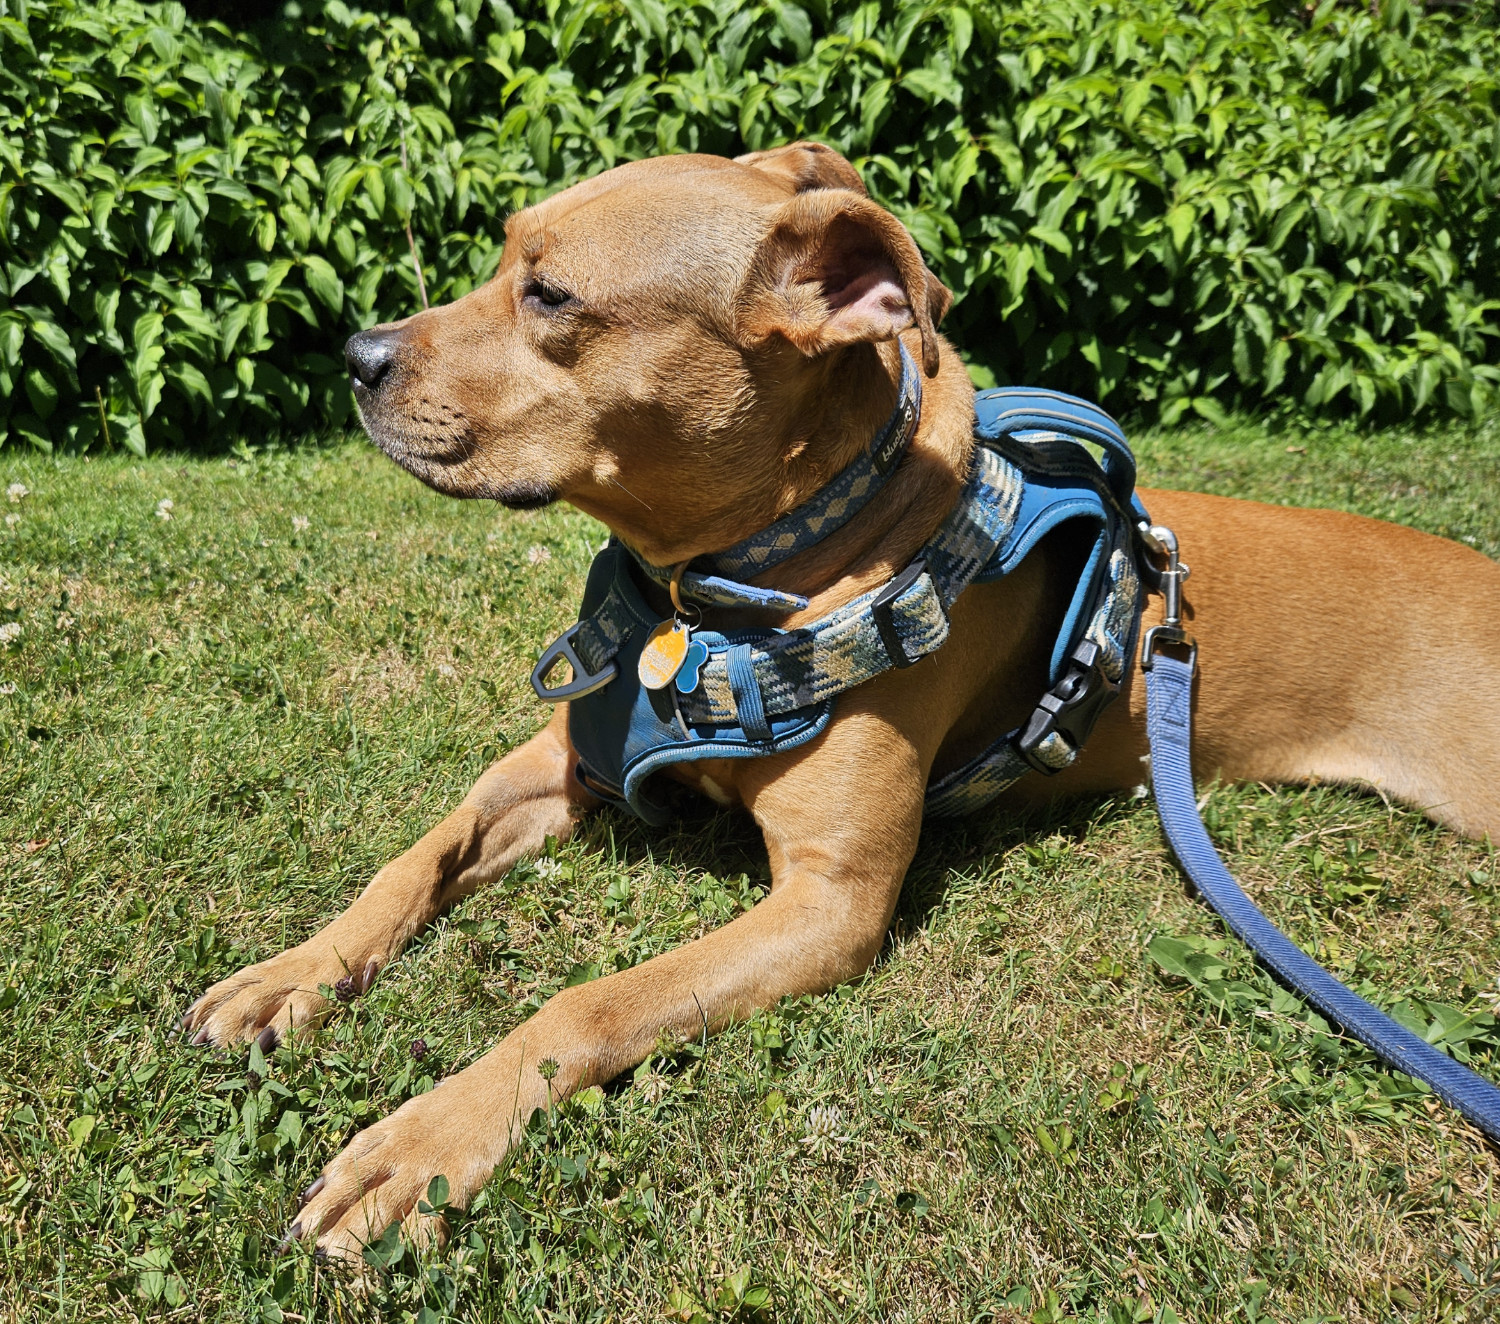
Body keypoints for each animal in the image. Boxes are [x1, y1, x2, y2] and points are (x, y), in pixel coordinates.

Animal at [178, 139, 1500, 1259]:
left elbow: (585, 1004)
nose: (356, 357)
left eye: (548, 295)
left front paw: (421, 1142)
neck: (722, 594)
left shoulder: (830, 902)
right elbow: (414, 858)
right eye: (504, 253)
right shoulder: (561, 762)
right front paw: (292, 972)